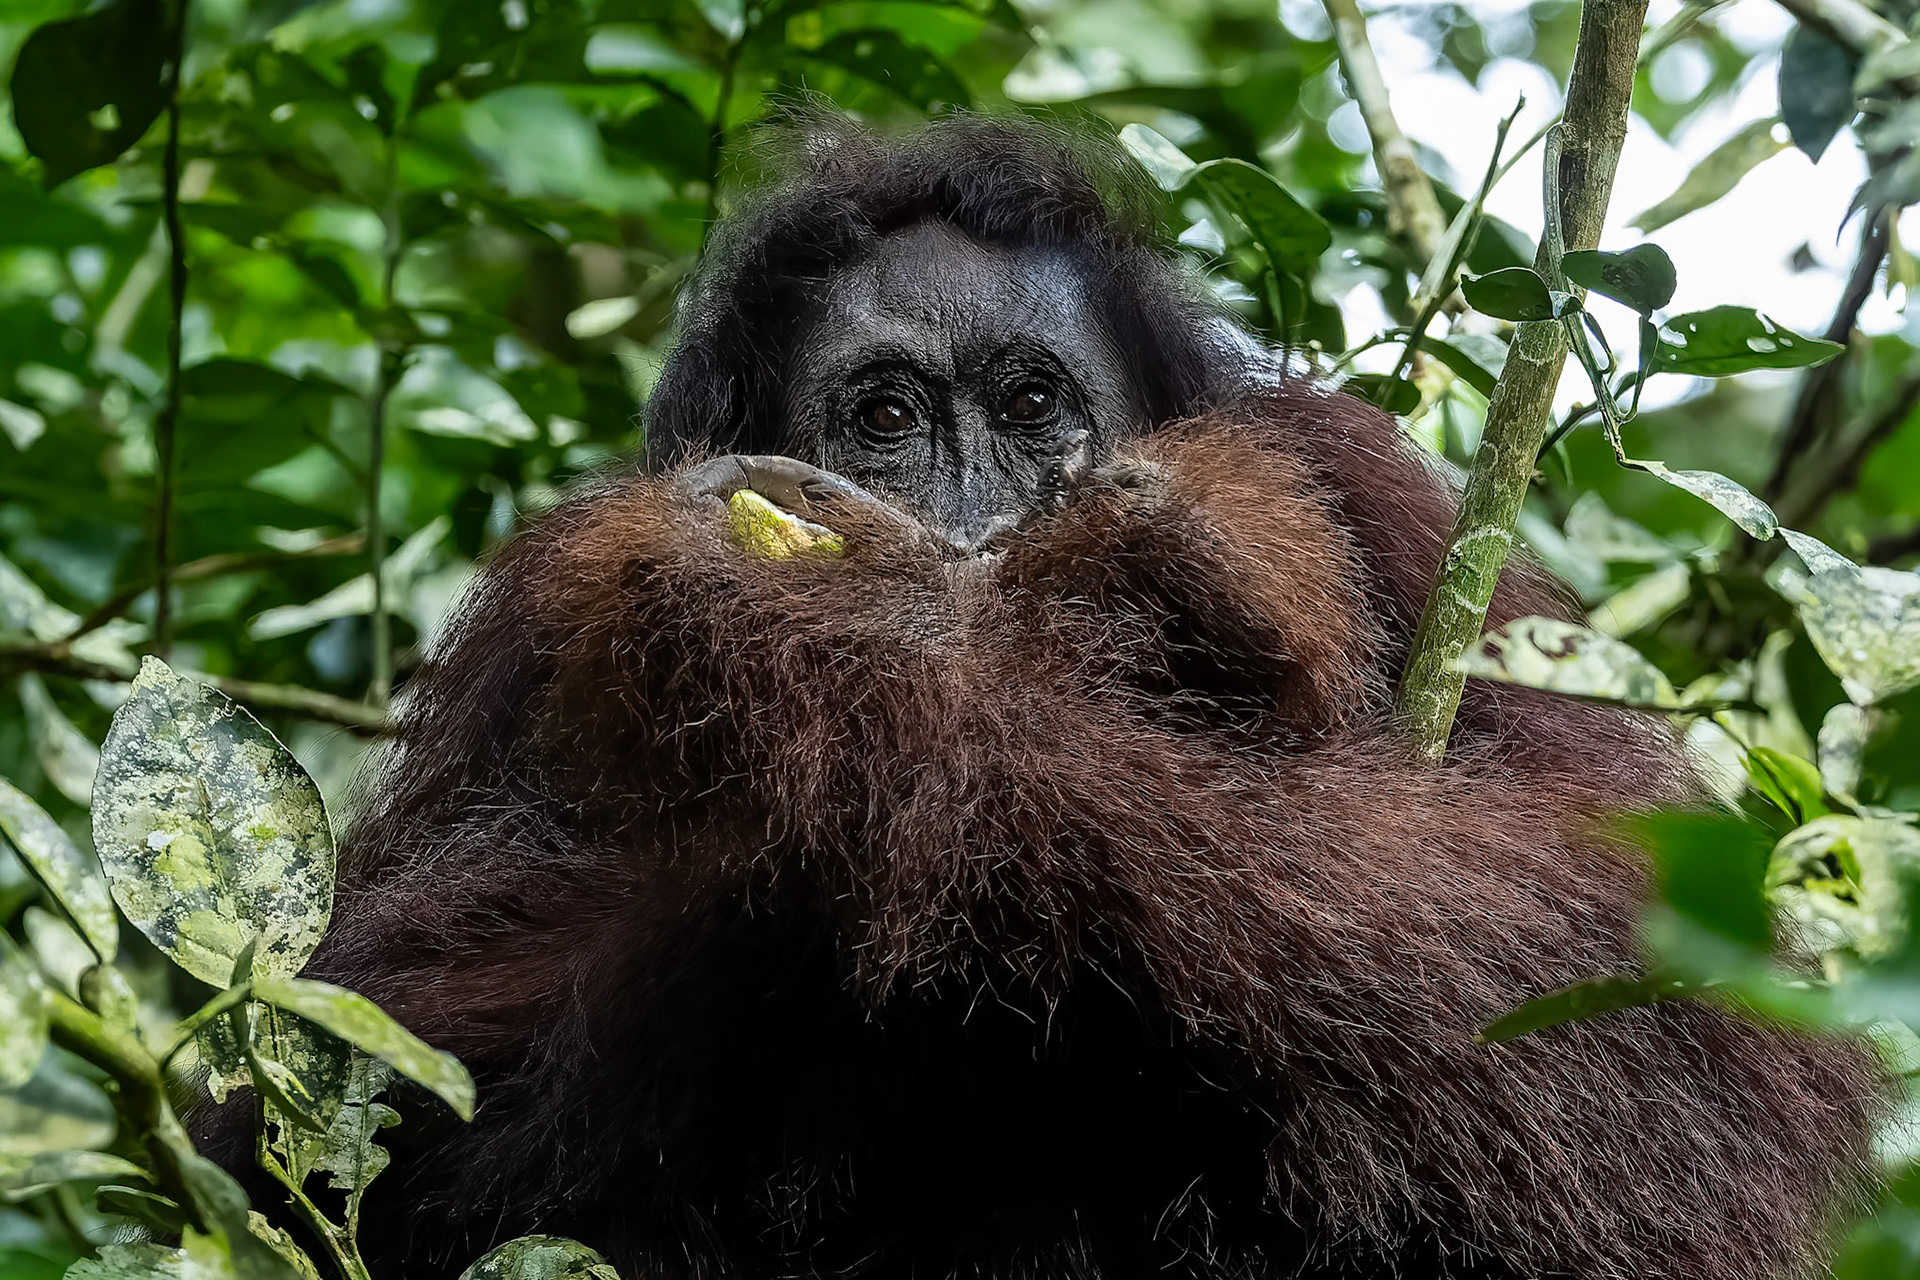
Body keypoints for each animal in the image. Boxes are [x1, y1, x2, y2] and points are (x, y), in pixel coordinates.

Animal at [203, 113, 1878, 1280]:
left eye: (1026, 406)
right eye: (887, 418)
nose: (977, 528)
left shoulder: (1384, 495)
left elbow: (1667, 1011)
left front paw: (967, 614)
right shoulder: (533, 623)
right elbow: (346, 1084)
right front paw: (832, 637)